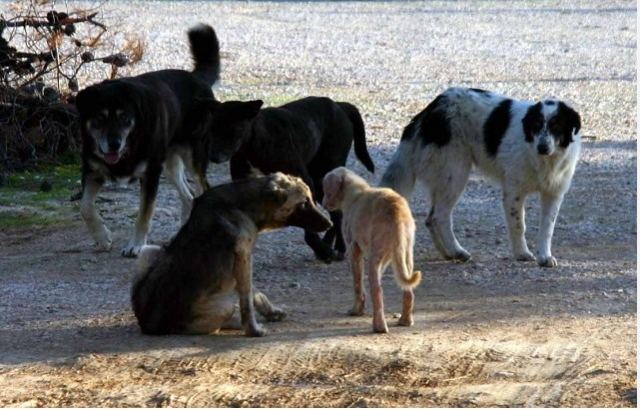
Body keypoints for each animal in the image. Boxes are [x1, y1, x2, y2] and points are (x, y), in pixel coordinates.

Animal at [76, 23, 230, 256]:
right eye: (99, 118)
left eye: (125, 118)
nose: (114, 144)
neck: (129, 146)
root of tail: (198, 78)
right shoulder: (93, 170)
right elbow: (85, 207)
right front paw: (102, 238)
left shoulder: (150, 174)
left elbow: (144, 214)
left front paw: (136, 245)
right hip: (169, 163)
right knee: (189, 197)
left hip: (192, 156)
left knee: (202, 190)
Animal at [130, 173, 330, 336]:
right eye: (303, 203)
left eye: (311, 199)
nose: (330, 224)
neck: (243, 205)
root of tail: (149, 324)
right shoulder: (243, 257)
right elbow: (246, 299)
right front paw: (253, 330)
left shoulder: (243, 261)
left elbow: (255, 293)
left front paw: (271, 312)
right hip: (223, 307)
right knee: (221, 320)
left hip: (149, 251)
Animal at [201, 96, 376, 262]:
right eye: (211, 129)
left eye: (234, 129)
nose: (213, 156)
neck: (254, 143)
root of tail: (339, 105)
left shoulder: (305, 183)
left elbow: (309, 227)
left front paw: (322, 250)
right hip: (320, 183)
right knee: (335, 213)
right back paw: (328, 244)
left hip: (323, 175)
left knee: (338, 213)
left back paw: (339, 248)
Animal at [322, 167, 422, 334]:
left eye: (325, 189)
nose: (323, 204)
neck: (355, 192)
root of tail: (397, 211)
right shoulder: (387, 258)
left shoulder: (354, 250)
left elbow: (357, 284)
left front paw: (356, 311)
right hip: (405, 255)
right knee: (408, 291)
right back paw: (405, 321)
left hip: (375, 258)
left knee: (377, 292)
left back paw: (379, 326)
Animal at [382, 87, 584, 268]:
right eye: (536, 125)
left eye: (557, 126)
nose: (542, 147)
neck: (544, 160)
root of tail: (430, 109)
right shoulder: (514, 193)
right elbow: (519, 225)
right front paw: (522, 254)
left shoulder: (553, 194)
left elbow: (547, 229)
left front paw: (544, 257)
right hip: (455, 173)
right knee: (440, 216)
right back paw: (457, 251)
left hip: (443, 178)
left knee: (430, 219)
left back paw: (447, 253)